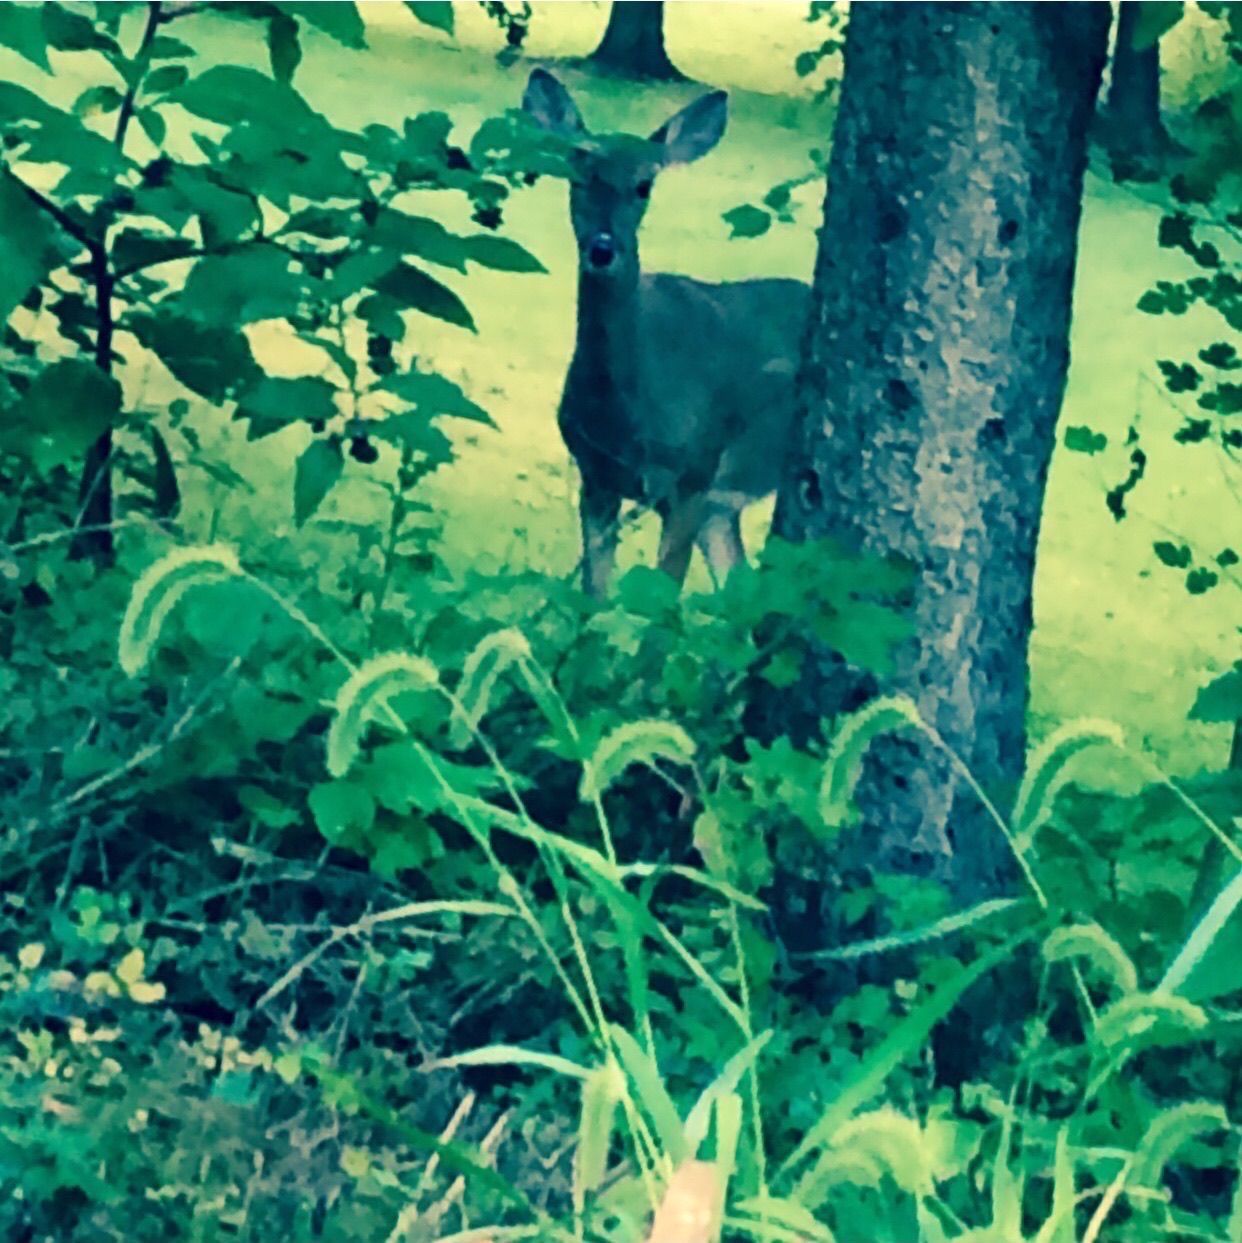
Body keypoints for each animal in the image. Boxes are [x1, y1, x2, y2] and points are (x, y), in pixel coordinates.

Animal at [521, 68, 811, 598]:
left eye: (644, 185)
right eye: (578, 174)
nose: (602, 249)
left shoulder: (692, 473)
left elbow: (657, 601)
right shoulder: (597, 475)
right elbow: (594, 598)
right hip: (722, 508)